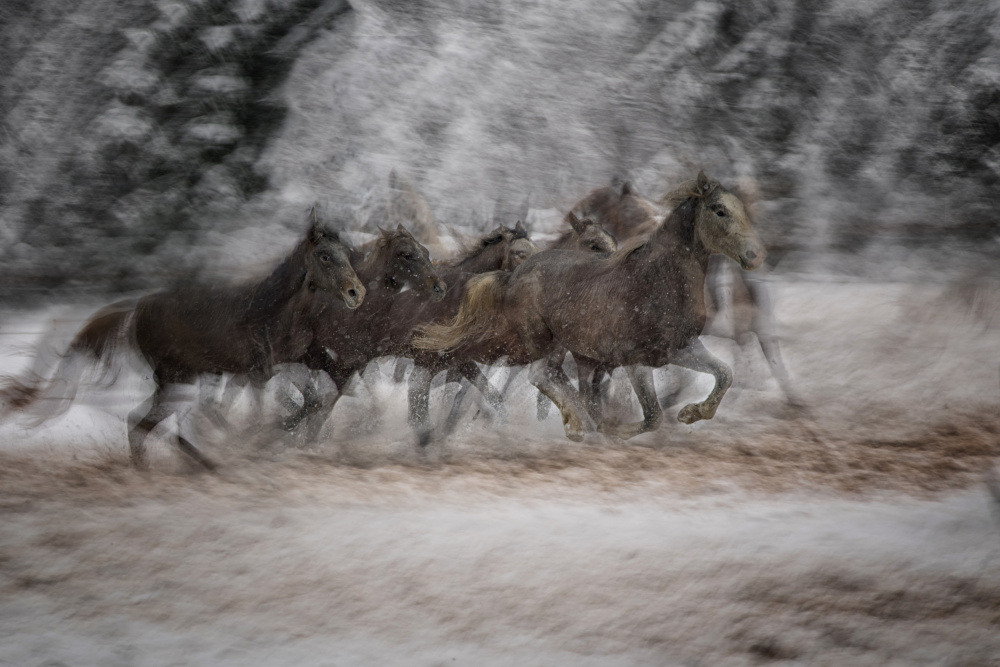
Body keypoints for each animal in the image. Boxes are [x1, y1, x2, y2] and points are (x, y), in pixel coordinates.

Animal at [0, 214, 368, 470]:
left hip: (185, 382)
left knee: (151, 426)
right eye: (324, 256)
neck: (272, 311)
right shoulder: (257, 373)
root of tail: (136, 309)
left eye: (346, 253)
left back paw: (197, 464)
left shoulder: (287, 365)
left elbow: (315, 400)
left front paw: (274, 437)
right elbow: (268, 410)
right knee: (142, 424)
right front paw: (257, 438)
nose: (357, 292)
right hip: (177, 380)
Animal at [414, 172, 764, 444]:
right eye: (719, 210)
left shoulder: (680, 348)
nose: (754, 255)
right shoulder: (634, 360)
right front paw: (612, 430)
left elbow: (725, 373)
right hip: (534, 342)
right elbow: (652, 416)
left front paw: (692, 413)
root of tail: (515, 273)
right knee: (527, 374)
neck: (659, 280)